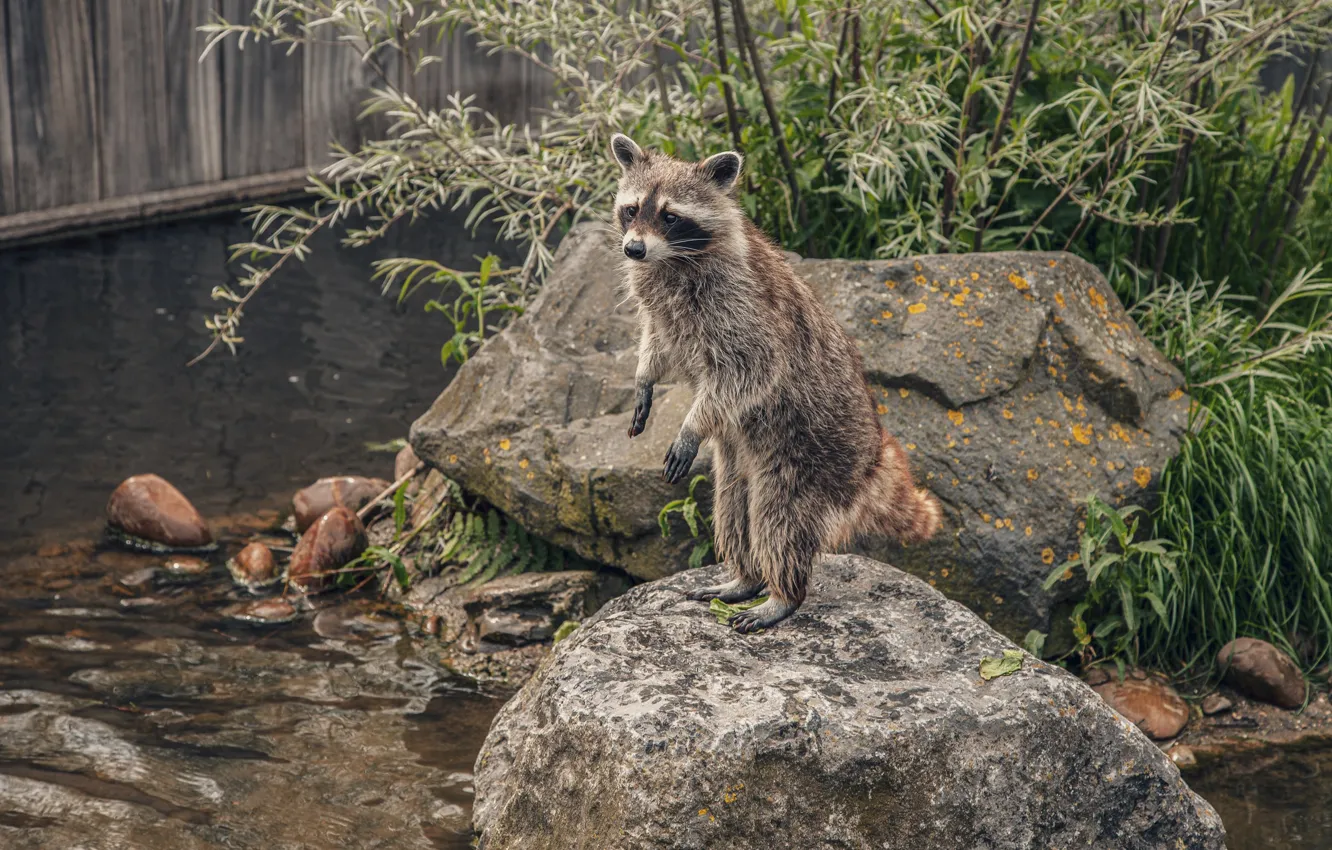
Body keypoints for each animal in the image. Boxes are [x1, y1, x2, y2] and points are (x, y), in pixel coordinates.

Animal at [611, 133, 942, 632]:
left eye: (669, 216)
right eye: (631, 209)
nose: (633, 250)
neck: (673, 259)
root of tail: (873, 457)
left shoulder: (741, 306)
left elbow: (752, 368)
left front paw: (693, 424)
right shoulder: (662, 307)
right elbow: (658, 342)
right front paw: (644, 377)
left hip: (808, 457)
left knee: (778, 518)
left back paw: (782, 594)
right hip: (741, 457)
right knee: (732, 505)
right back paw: (745, 576)